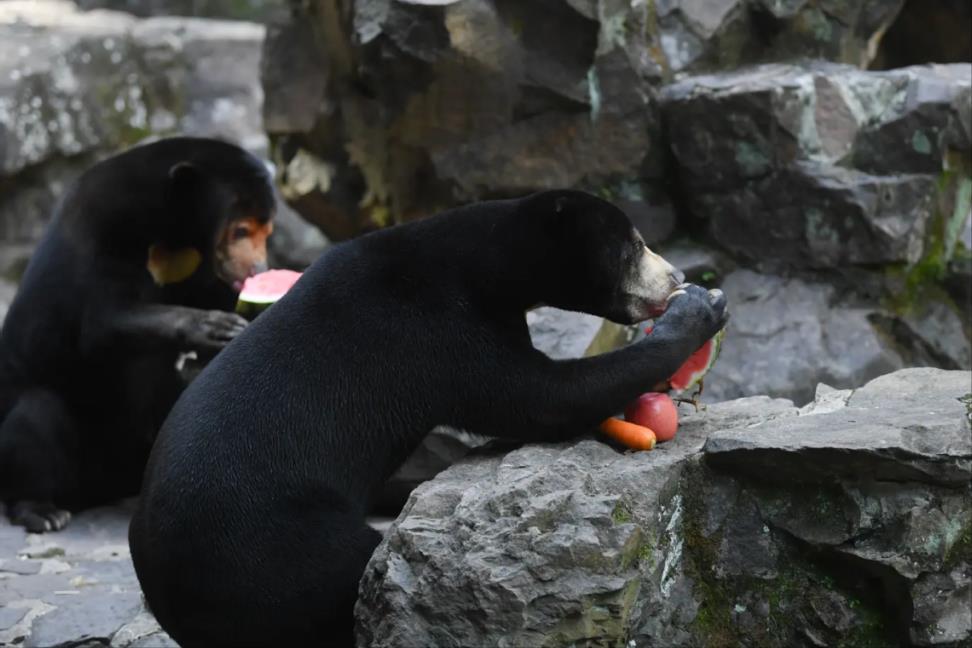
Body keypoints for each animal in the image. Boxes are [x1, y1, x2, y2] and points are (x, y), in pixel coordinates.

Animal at [0, 137, 276, 532]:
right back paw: (42, 510)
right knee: (34, 415)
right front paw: (216, 327)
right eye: (240, 230)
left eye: (267, 232)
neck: (174, 232)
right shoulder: (107, 228)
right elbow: (103, 322)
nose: (259, 269)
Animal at [129, 190, 728, 647]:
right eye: (634, 246)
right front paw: (701, 308)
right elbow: (537, 396)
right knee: (346, 579)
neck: (481, 264)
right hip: (274, 545)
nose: (675, 273)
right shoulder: (433, 331)